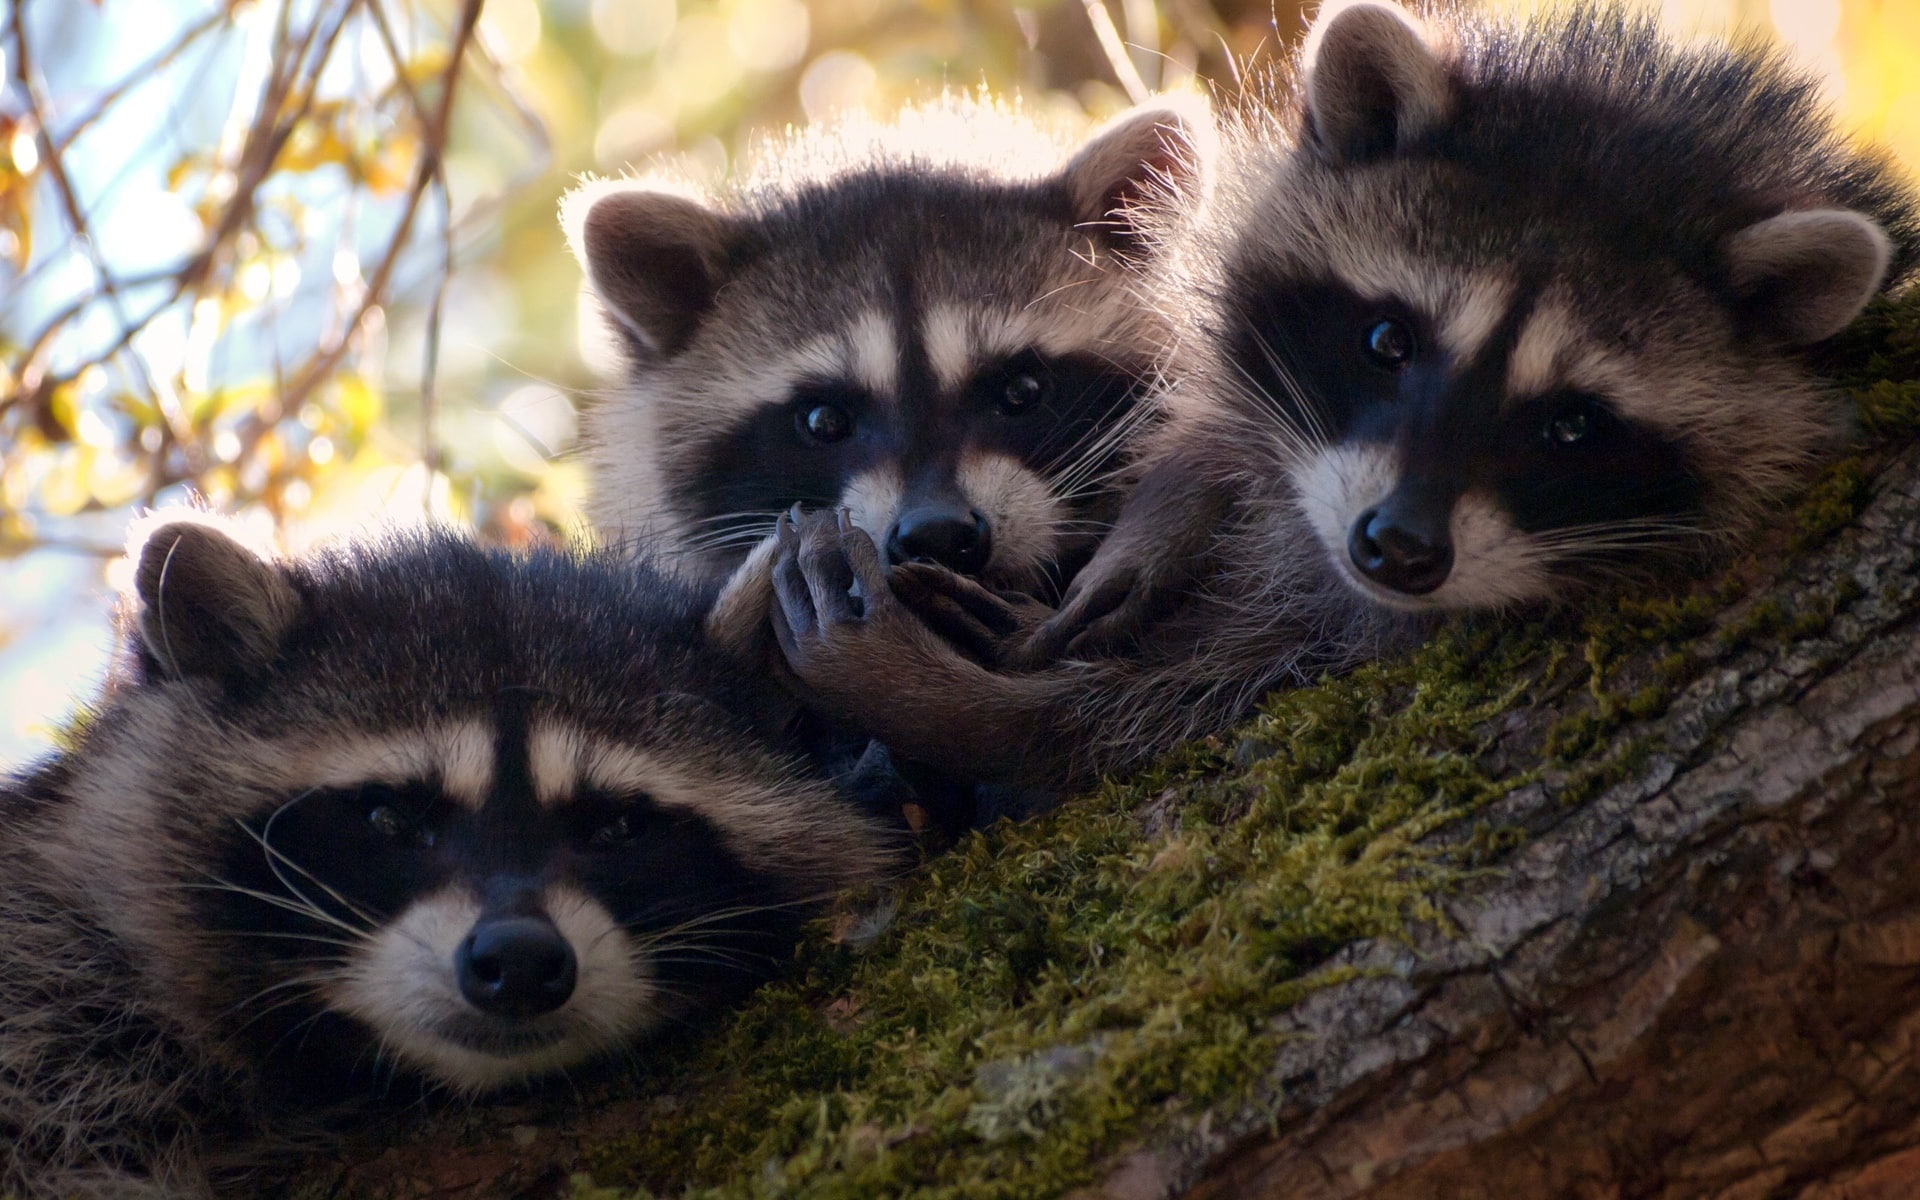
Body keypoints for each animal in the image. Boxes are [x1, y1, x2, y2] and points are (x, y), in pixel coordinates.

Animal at [761, 1, 1918, 794]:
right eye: (1386, 341)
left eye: (1573, 423)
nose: (1397, 548)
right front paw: (1176, 501)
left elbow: (1158, 715)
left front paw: (970, 710)